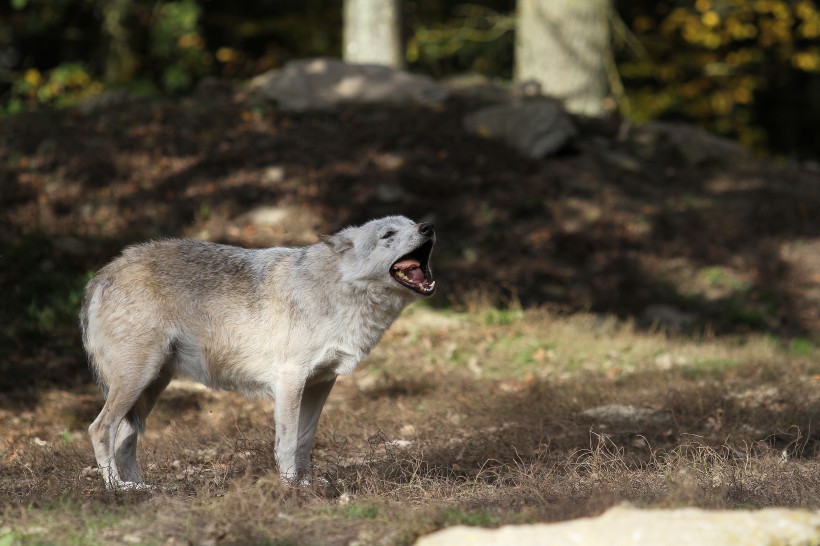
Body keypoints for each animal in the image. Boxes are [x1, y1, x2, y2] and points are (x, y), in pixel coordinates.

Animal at [80, 215, 436, 486]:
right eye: (388, 234)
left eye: (411, 223)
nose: (428, 227)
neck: (336, 290)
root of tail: (104, 272)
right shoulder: (290, 380)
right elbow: (288, 442)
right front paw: (291, 486)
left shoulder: (320, 383)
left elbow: (305, 439)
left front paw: (308, 484)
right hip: (138, 378)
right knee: (99, 429)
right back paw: (116, 488)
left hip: (150, 386)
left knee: (124, 437)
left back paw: (141, 488)